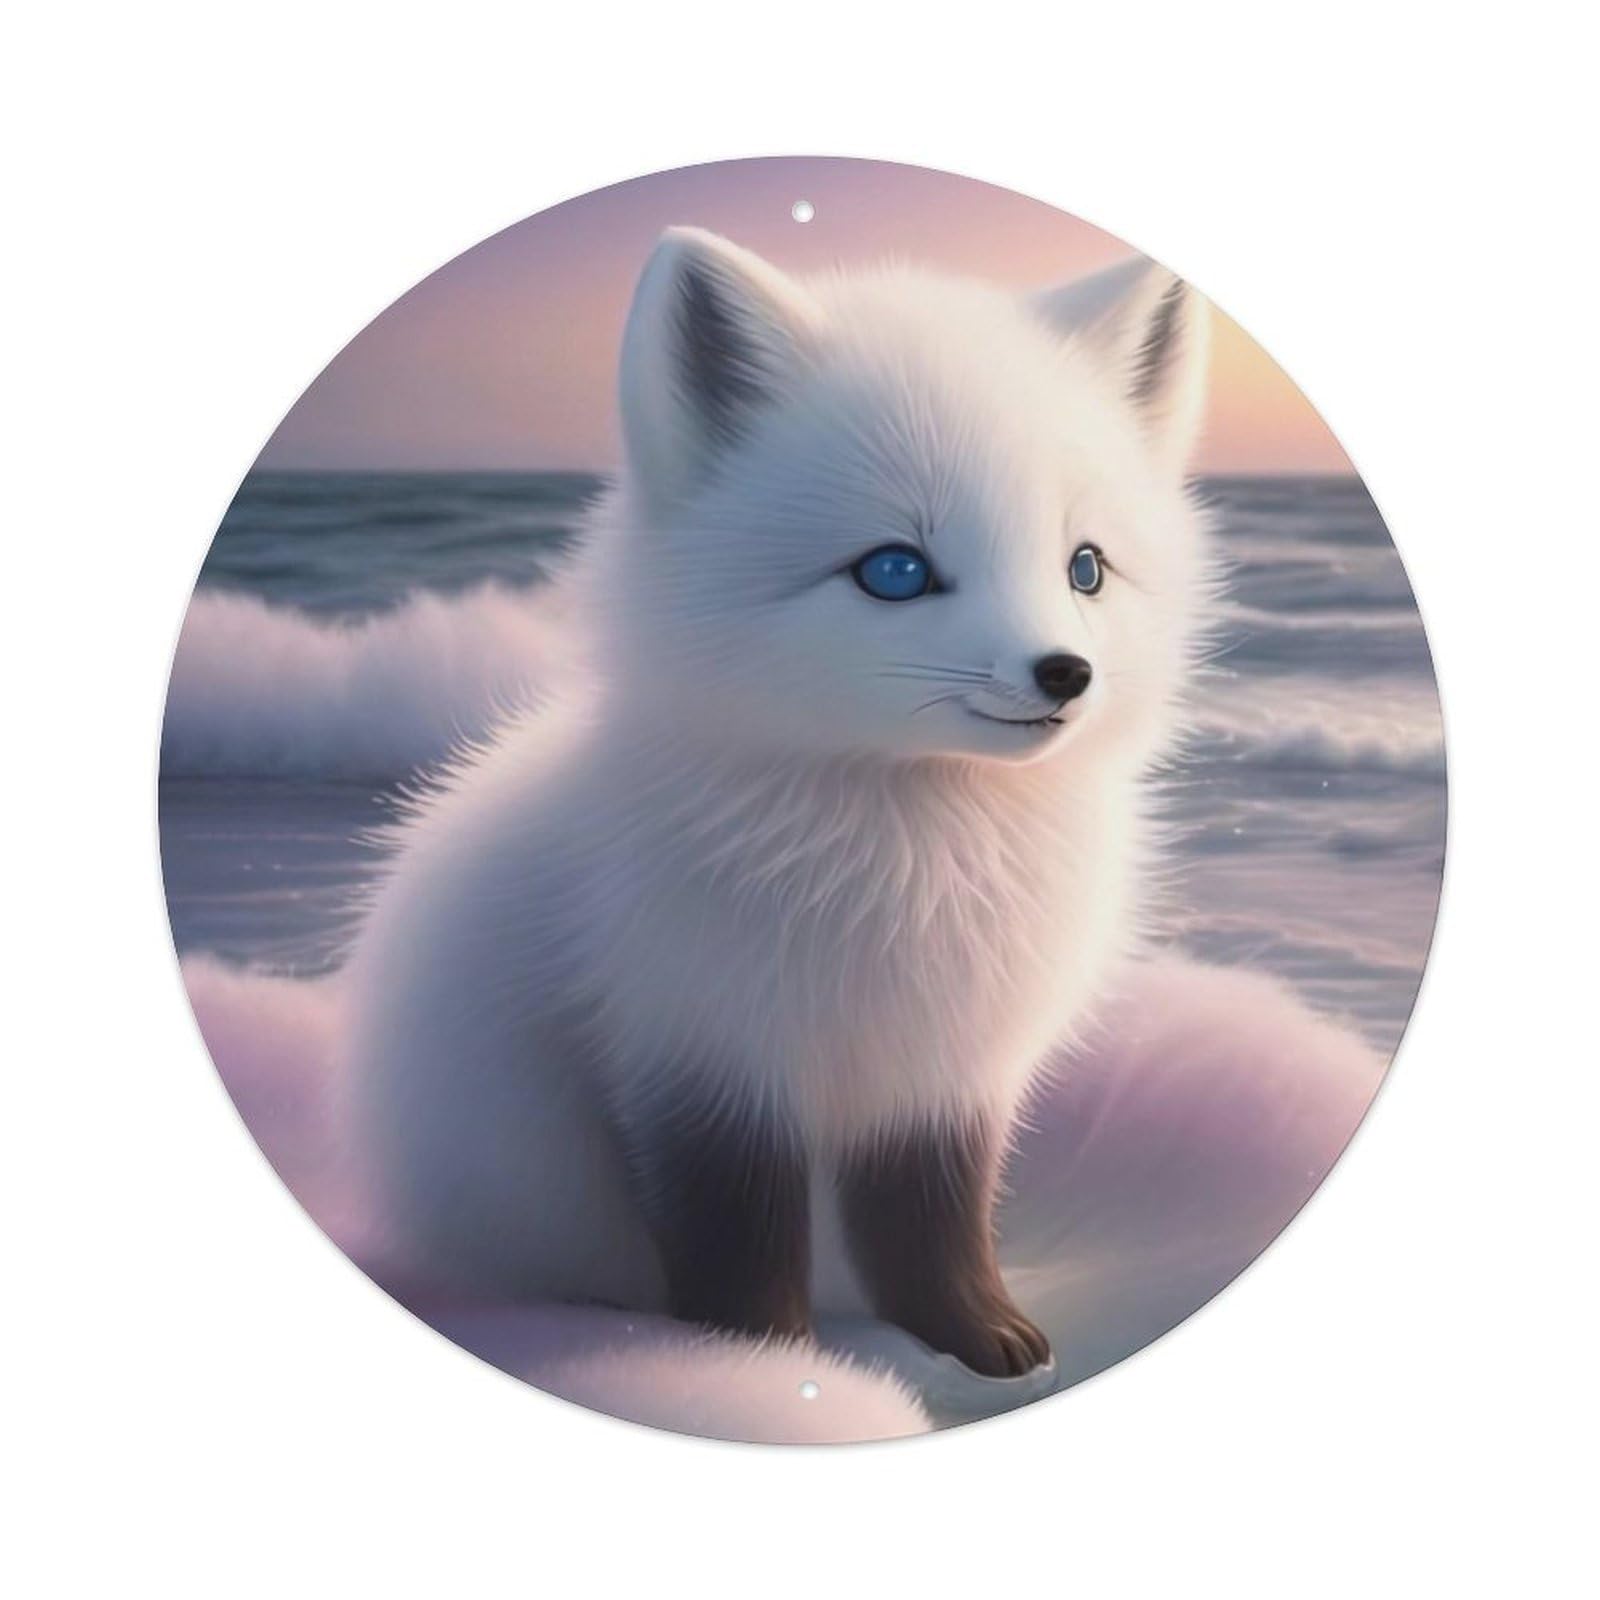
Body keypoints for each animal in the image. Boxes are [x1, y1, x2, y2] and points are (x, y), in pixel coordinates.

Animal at [346, 227, 1213, 1379]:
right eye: (895, 571)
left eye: (1085, 568)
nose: (1065, 673)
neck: (913, 868)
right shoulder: (702, 1063)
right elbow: (737, 1235)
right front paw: (766, 1365)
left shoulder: (942, 1078)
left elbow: (933, 1225)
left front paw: (977, 1335)